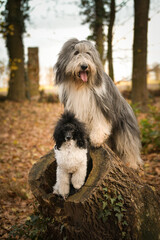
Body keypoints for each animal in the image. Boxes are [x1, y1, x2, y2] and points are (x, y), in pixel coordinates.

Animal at [54, 38, 142, 169]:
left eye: (88, 53)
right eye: (76, 53)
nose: (84, 66)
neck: (81, 85)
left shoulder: (101, 105)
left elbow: (100, 121)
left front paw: (96, 139)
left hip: (125, 129)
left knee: (129, 146)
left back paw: (131, 164)